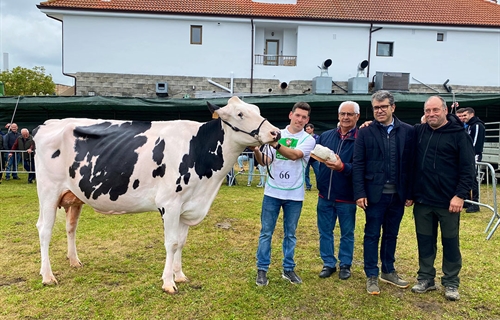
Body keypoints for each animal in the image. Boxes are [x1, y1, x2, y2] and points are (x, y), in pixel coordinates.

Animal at [33, 96, 280, 294]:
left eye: (257, 109)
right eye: (240, 114)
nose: (275, 132)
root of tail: (48, 124)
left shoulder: (186, 206)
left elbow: (181, 242)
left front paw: (180, 275)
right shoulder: (169, 204)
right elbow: (171, 243)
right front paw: (169, 283)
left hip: (73, 196)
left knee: (71, 227)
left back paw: (74, 261)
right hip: (48, 192)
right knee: (44, 230)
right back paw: (47, 276)